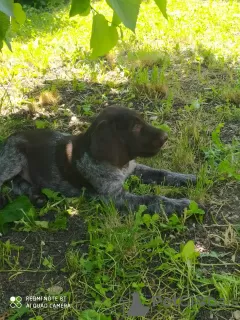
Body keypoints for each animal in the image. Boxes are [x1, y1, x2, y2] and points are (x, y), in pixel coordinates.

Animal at [0, 107, 197, 215]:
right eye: (135, 127)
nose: (166, 137)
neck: (119, 165)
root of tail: (8, 139)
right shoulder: (113, 197)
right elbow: (153, 199)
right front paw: (183, 204)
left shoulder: (134, 169)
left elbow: (162, 173)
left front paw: (189, 178)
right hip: (12, 163)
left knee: (18, 185)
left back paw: (36, 196)